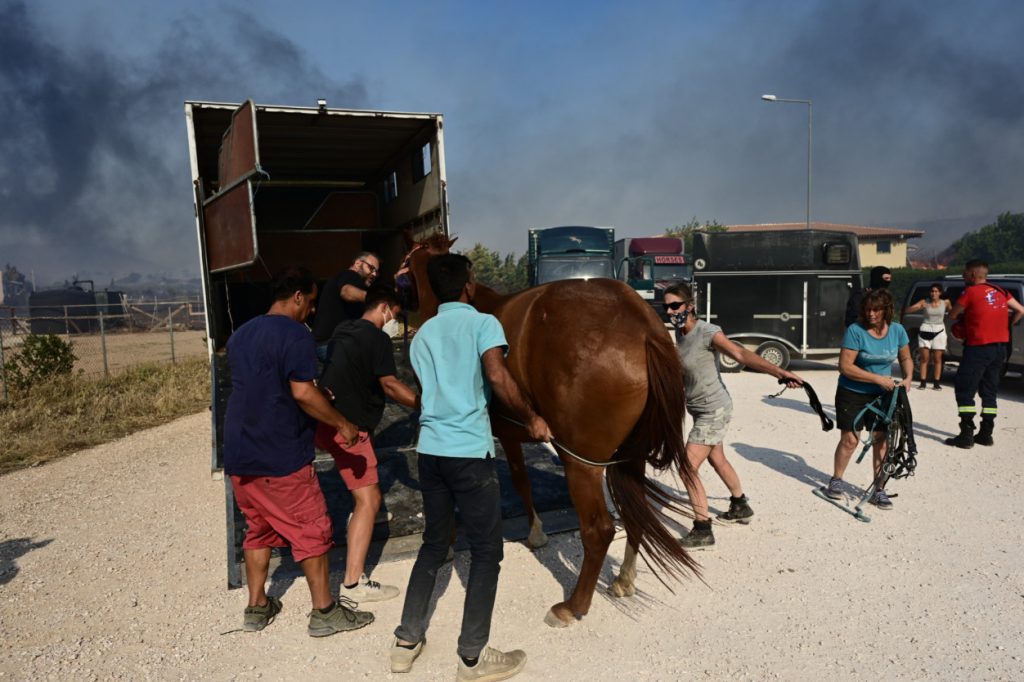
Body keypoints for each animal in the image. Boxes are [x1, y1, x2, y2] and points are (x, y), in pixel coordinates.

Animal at [403, 235, 700, 626]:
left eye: (406, 264)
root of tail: (643, 328)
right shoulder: (511, 434)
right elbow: (520, 482)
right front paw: (535, 532)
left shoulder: (504, 437)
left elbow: (516, 481)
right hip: (630, 458)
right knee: (634, 516)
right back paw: (623, 580)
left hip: (582, 464)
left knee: (599, 531)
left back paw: (574, 605)